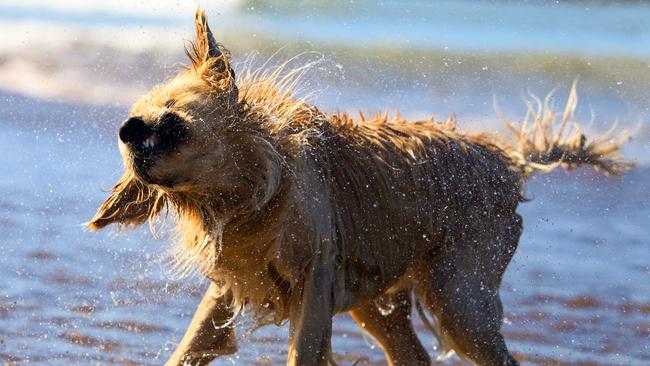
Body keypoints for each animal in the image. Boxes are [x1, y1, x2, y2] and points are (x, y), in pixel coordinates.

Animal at [86, 10, 628, 366]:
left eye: (171, 119)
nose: (126, 129)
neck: (253, 196)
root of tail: (509, 161)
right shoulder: (230, 284)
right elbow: (192, 344)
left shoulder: (315, 281)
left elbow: (302, 349)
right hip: (379, 301)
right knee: (414, 356)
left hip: (460, 299)